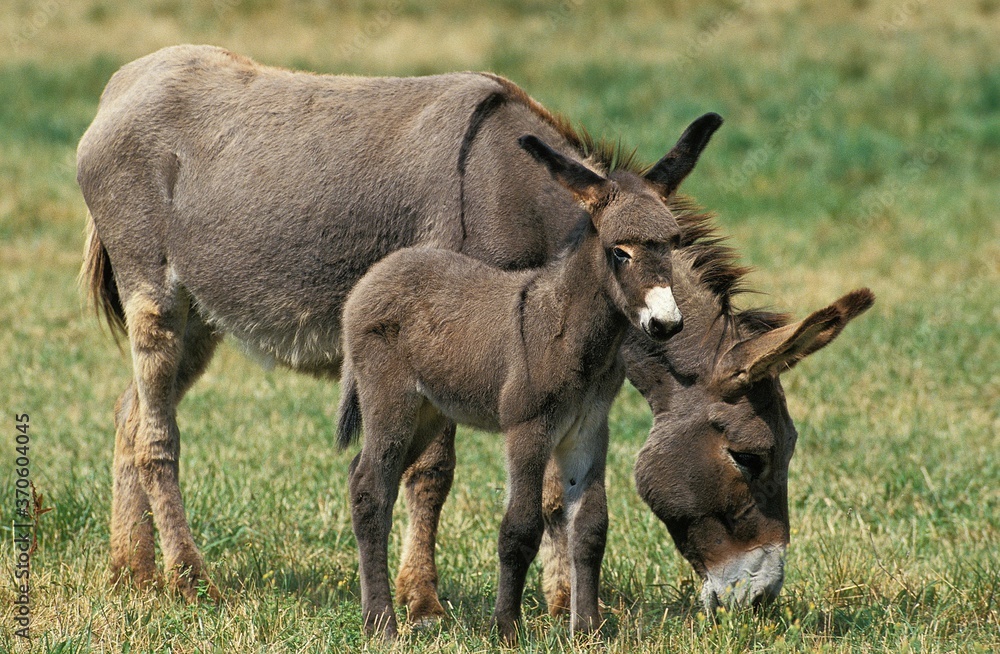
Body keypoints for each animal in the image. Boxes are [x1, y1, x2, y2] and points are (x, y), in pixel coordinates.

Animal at [340, 136, 684, 644]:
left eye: (674, 245)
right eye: (619, 252)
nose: (667, 324)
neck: (571, 333)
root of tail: (378, 272)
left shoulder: (588, 431)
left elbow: (591, 528)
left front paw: (588, 630)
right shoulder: (528, 429)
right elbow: (519, 528)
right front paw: (506, 629)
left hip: (428, 412)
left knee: (361, 476)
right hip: (390, 400)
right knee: (371, 489)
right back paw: (381, 625)